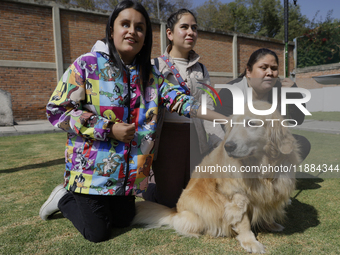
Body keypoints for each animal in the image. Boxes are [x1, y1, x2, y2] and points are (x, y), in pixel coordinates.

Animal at [131, 101, 302, 253]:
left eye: (252, 123)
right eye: (233, 125)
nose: (229, 146)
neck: (260, 166)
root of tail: (175, 211)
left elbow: (267, 209)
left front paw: (271, 224)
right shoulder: (237, 197)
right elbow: (243, 223)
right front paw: (250, 242)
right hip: (197, 217)